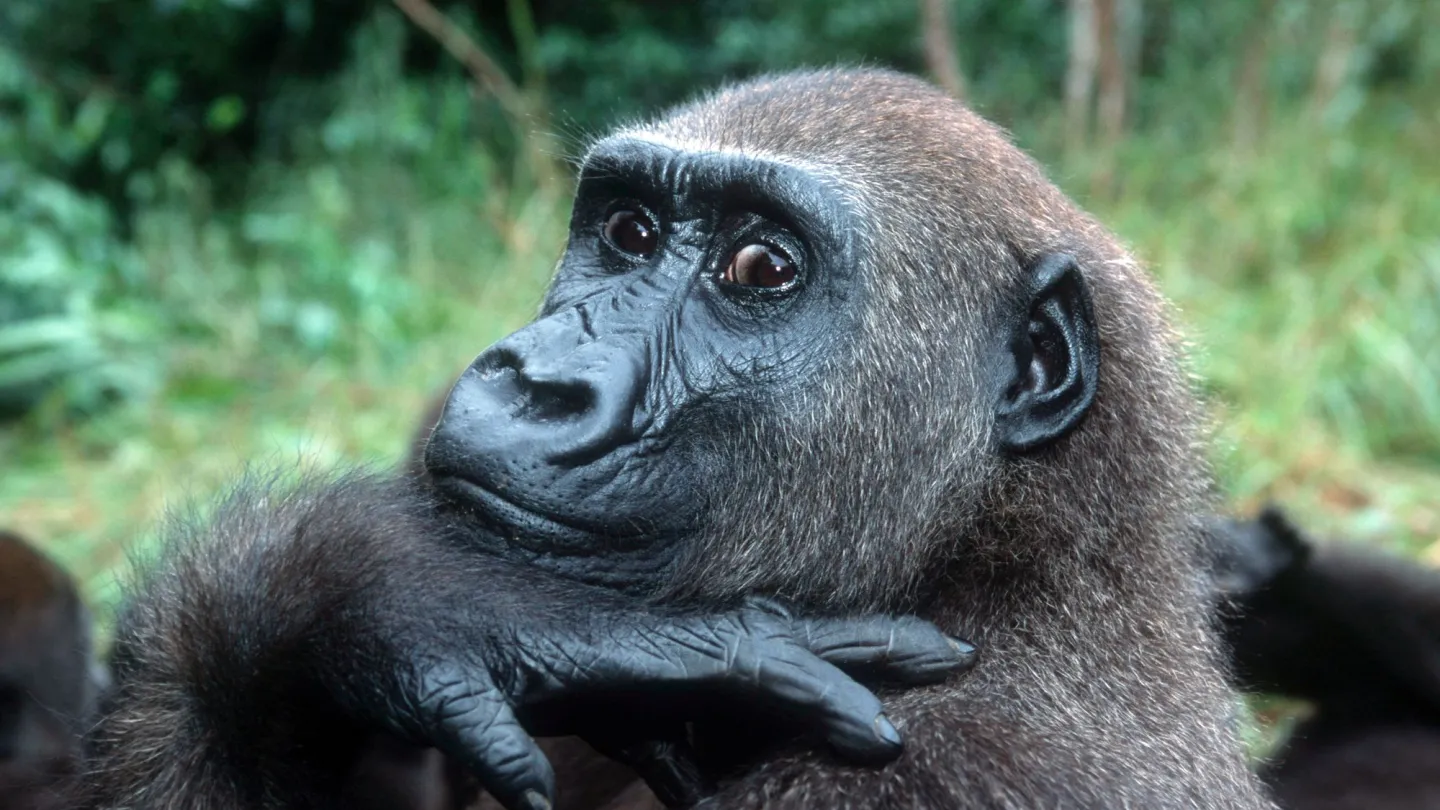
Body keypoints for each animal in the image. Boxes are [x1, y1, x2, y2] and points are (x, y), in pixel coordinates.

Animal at [72, 68, 1270, 809]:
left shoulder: (950, 771)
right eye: (629, 230)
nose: (535, 379)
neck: (1005, 559)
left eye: (760, 269)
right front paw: (385, 597)